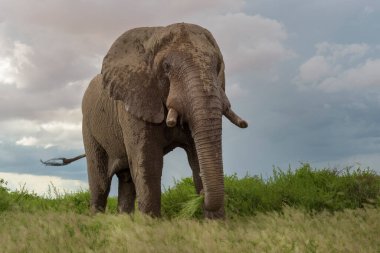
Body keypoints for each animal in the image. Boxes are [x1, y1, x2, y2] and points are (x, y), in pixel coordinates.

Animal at [79, 22, 246, 218]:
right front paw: (151, 223)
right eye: (166, 67)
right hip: (88, 127)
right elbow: (148, 162)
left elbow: (197, 158)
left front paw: (215, 224)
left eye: (217, 65)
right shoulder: (135, 100)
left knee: (126, 179)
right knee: (100, 182)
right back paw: (97, 218)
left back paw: (125, 219)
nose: (201, 196)